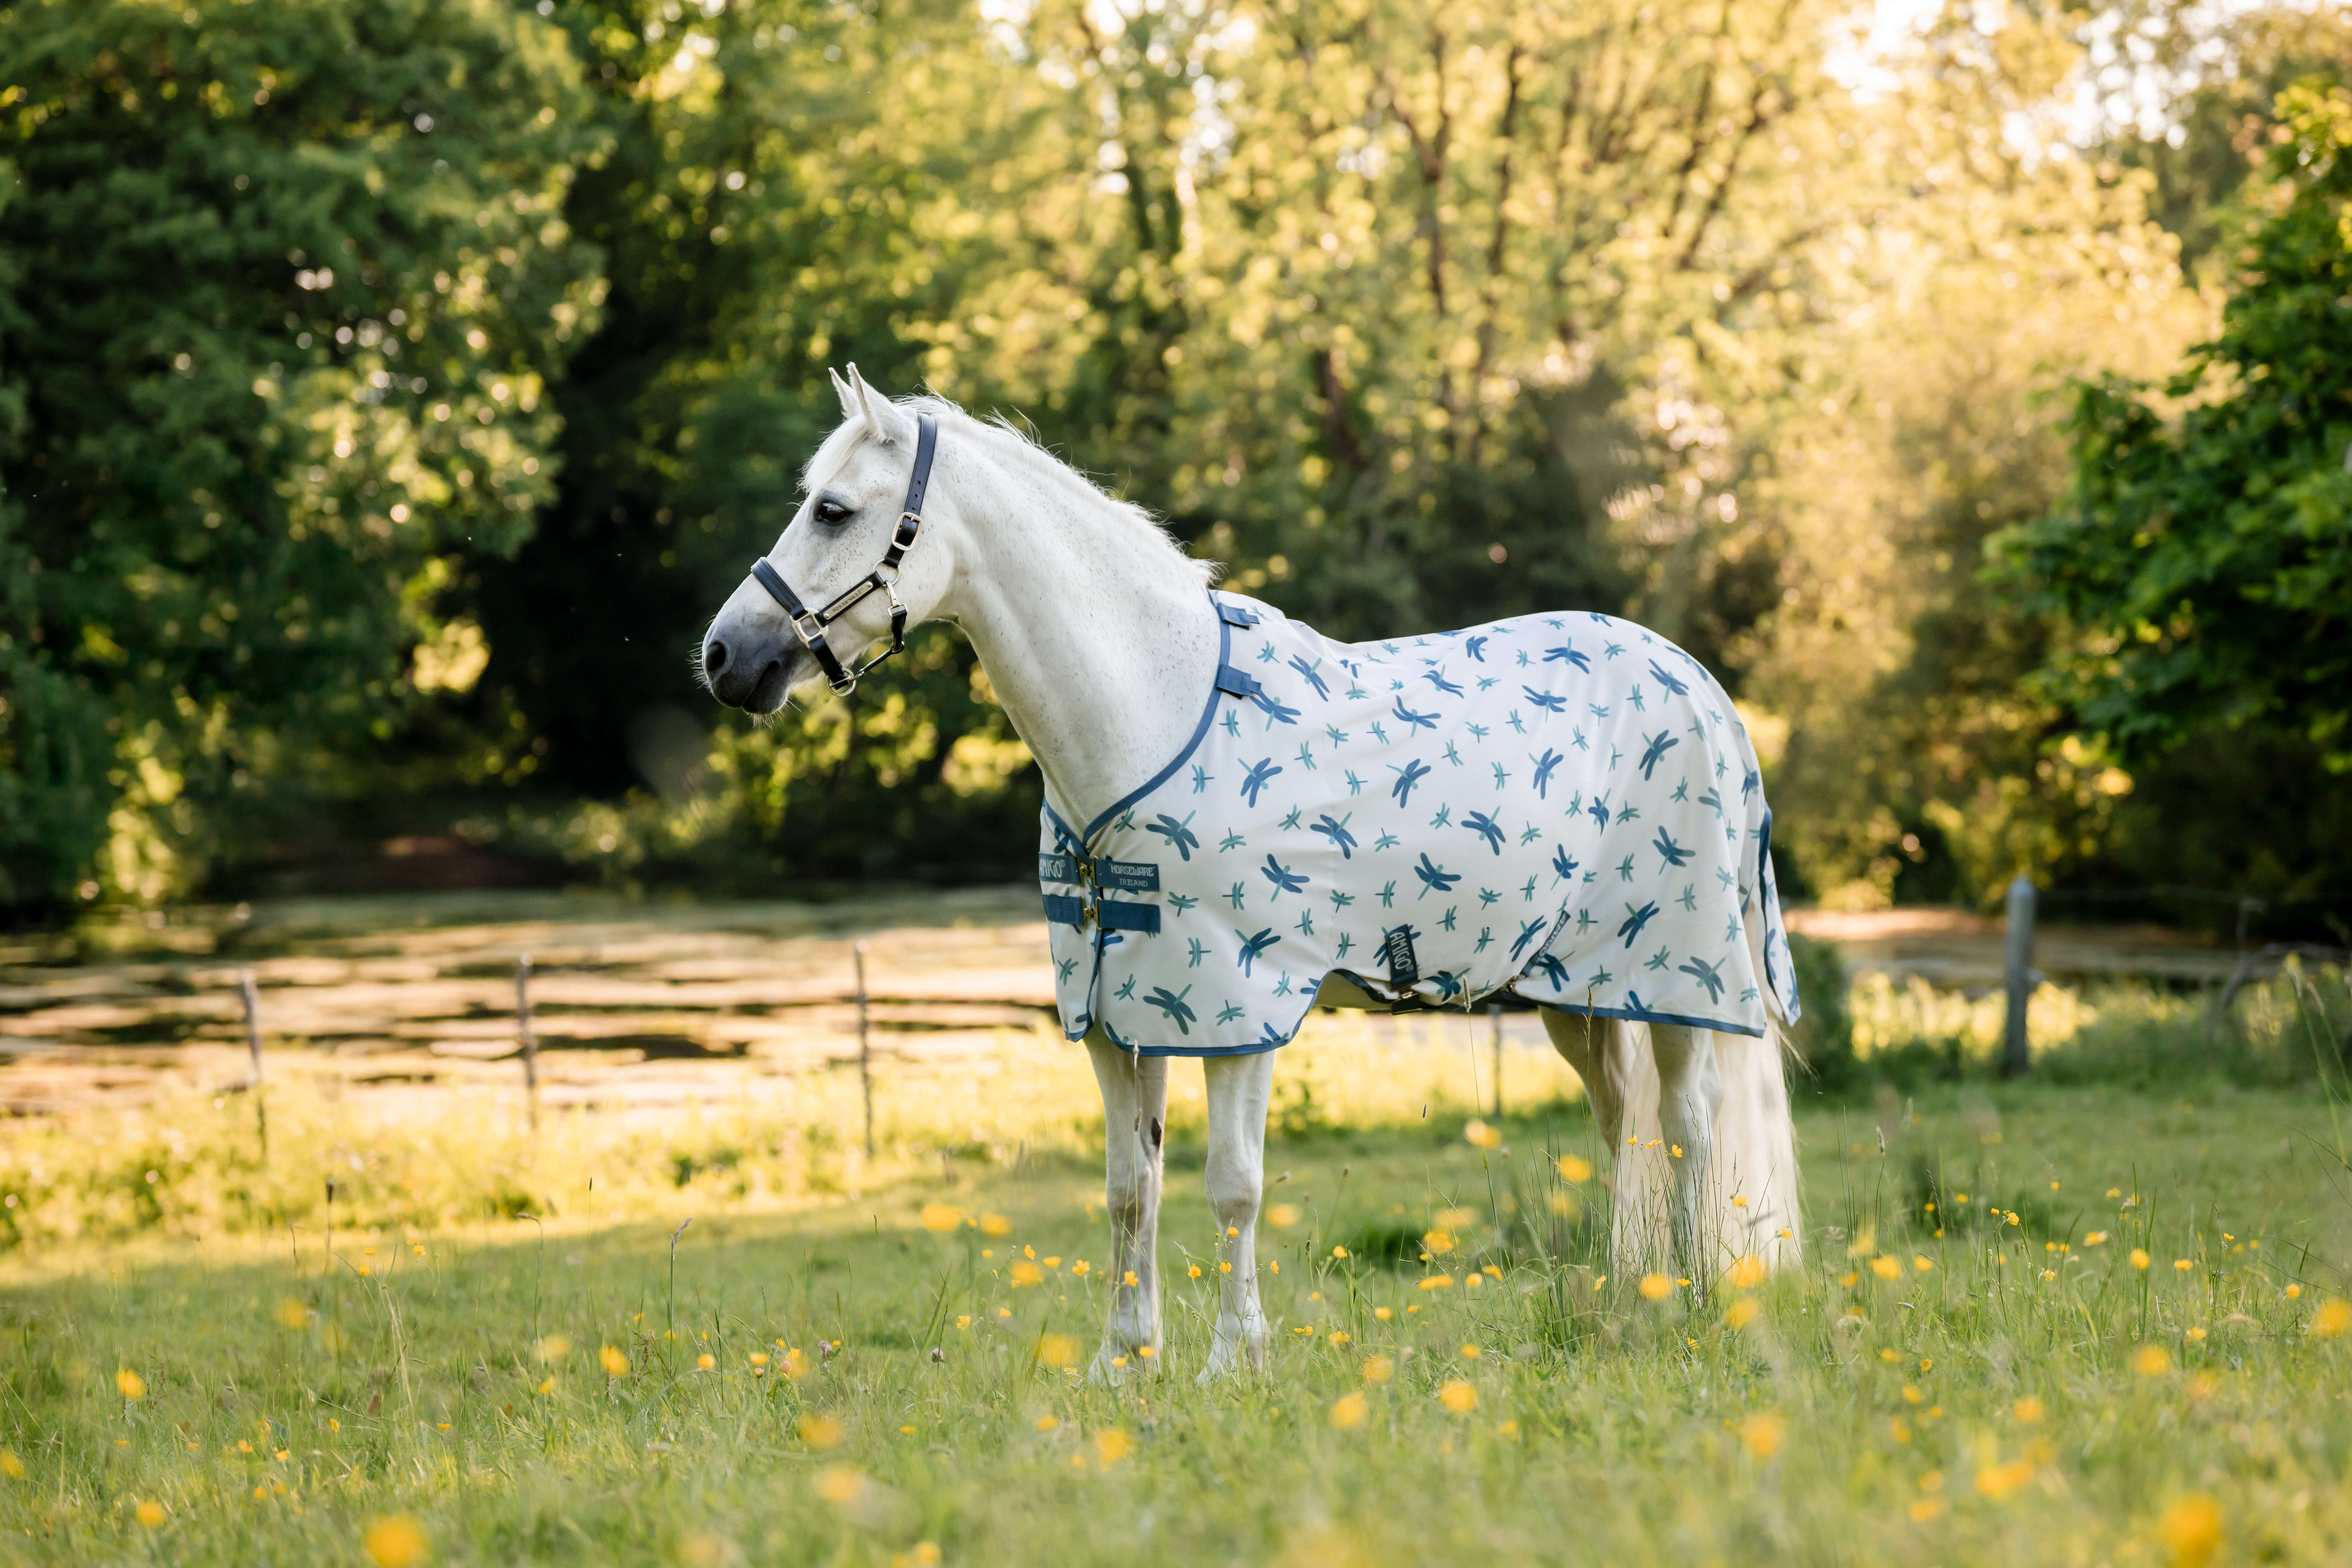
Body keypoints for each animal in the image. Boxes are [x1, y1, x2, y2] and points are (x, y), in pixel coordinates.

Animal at [699, 367, 1803, 1378]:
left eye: (834, 510)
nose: (722, 658)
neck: (1151, 714)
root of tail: (1700, 685)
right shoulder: (1115, 1014)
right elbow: (1128, 1189)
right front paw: (1123, 1362)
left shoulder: (1242, 1008)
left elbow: (1233, 1184)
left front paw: (1235, 1361)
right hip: (1582, 990)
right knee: (1623, 1126)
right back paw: (1628, 1303)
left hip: (1675, 976)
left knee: (1690, 1125)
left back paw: (1692, 1306)